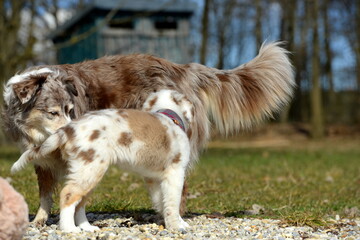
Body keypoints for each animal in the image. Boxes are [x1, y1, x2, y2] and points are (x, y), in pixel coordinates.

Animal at [11, 89, 193, 232]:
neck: (167, 114)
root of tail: (68, 129)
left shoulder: (153, 179)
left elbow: (162, 202)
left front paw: (180, 223)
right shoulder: (175, 173)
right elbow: (173, 203)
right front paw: (177, 226)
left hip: (85, 171)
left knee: (79, 201)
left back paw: (87, 227)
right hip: (91, 169)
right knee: (68, 194)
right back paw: (69, 229)